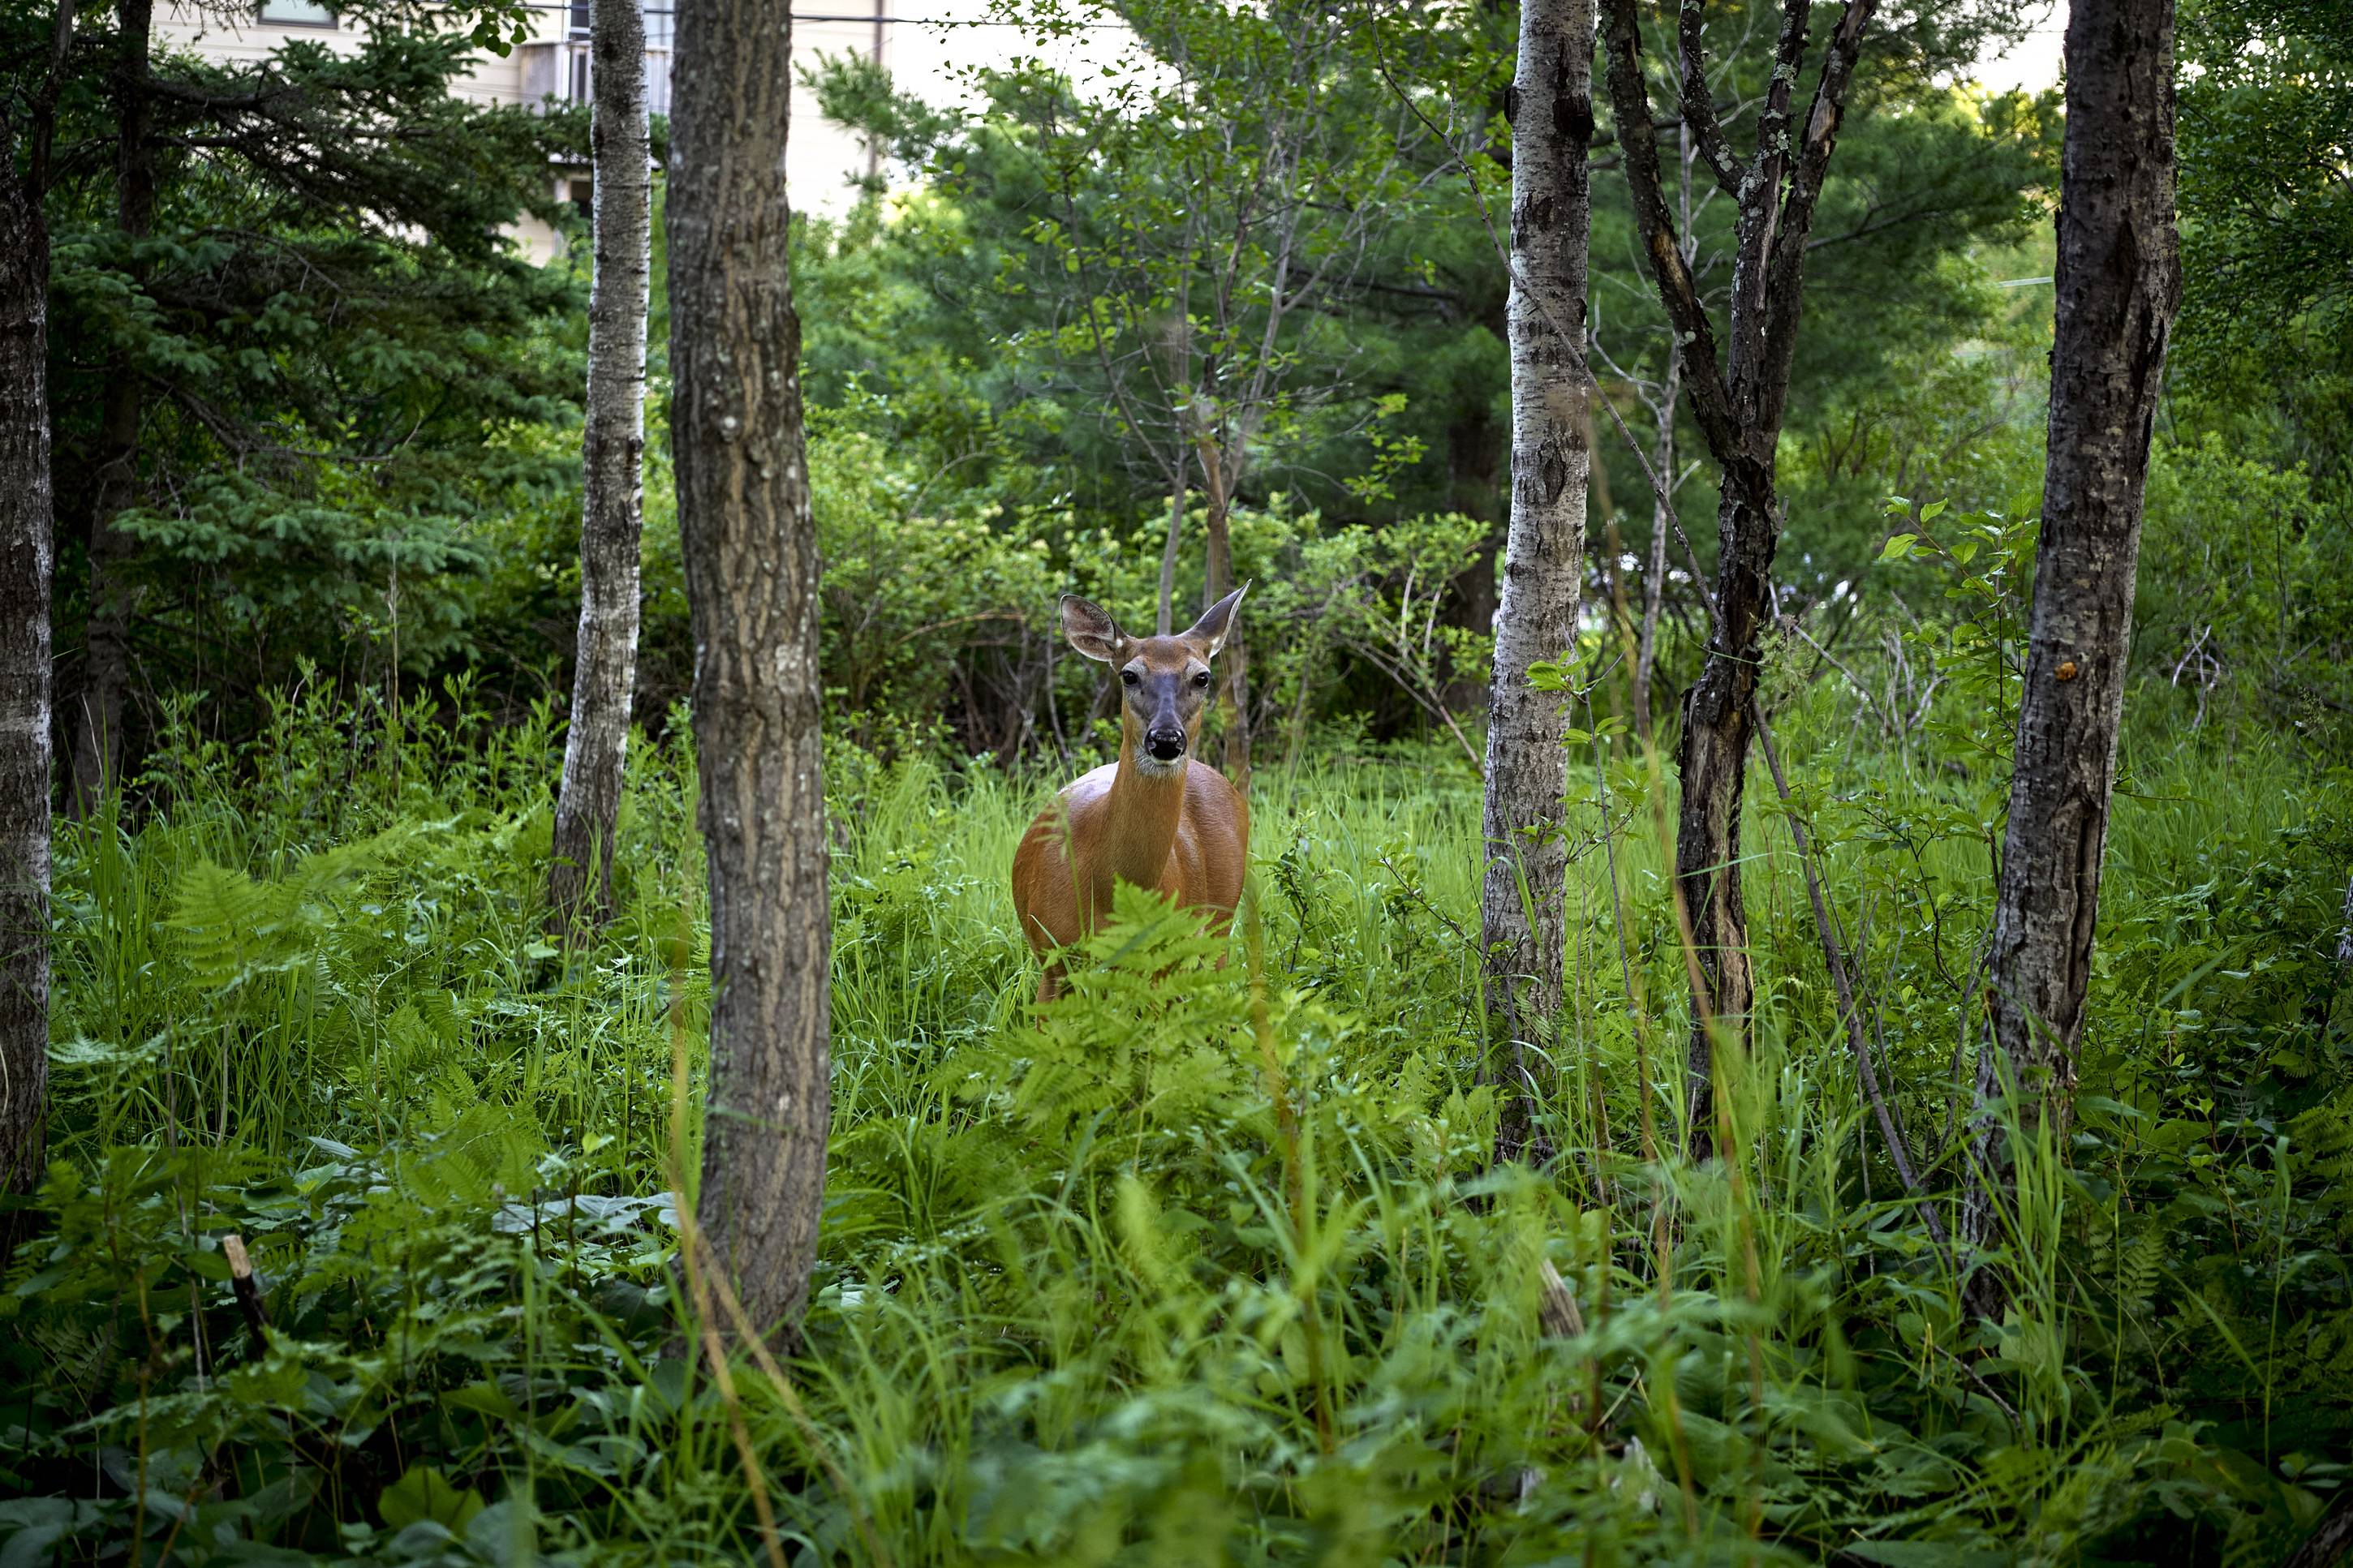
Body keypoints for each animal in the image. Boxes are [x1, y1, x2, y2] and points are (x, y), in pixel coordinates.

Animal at [1011, 587, 1250, 1003]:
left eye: (1202, 677)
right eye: (1129, 674)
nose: (1166, 738)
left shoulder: (1158, 965)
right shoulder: (1052, 957)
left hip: (1219, 923)